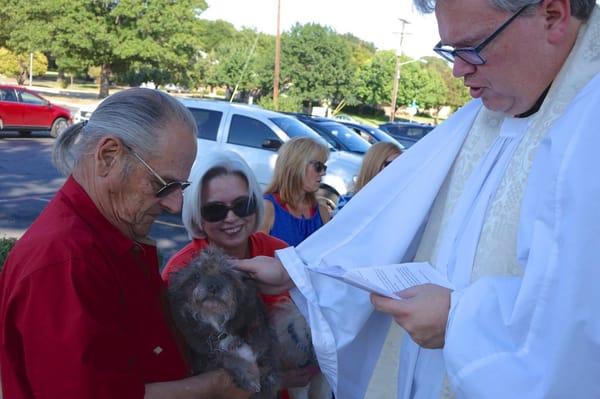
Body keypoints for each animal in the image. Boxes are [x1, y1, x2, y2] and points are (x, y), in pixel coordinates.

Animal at [169, 245, 278, 398]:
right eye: (196, 276)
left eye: (227, 275)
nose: (213, 286)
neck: (216, 320)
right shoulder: (206, 358)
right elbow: (227, 358)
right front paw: (249, 377)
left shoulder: (264, 346)